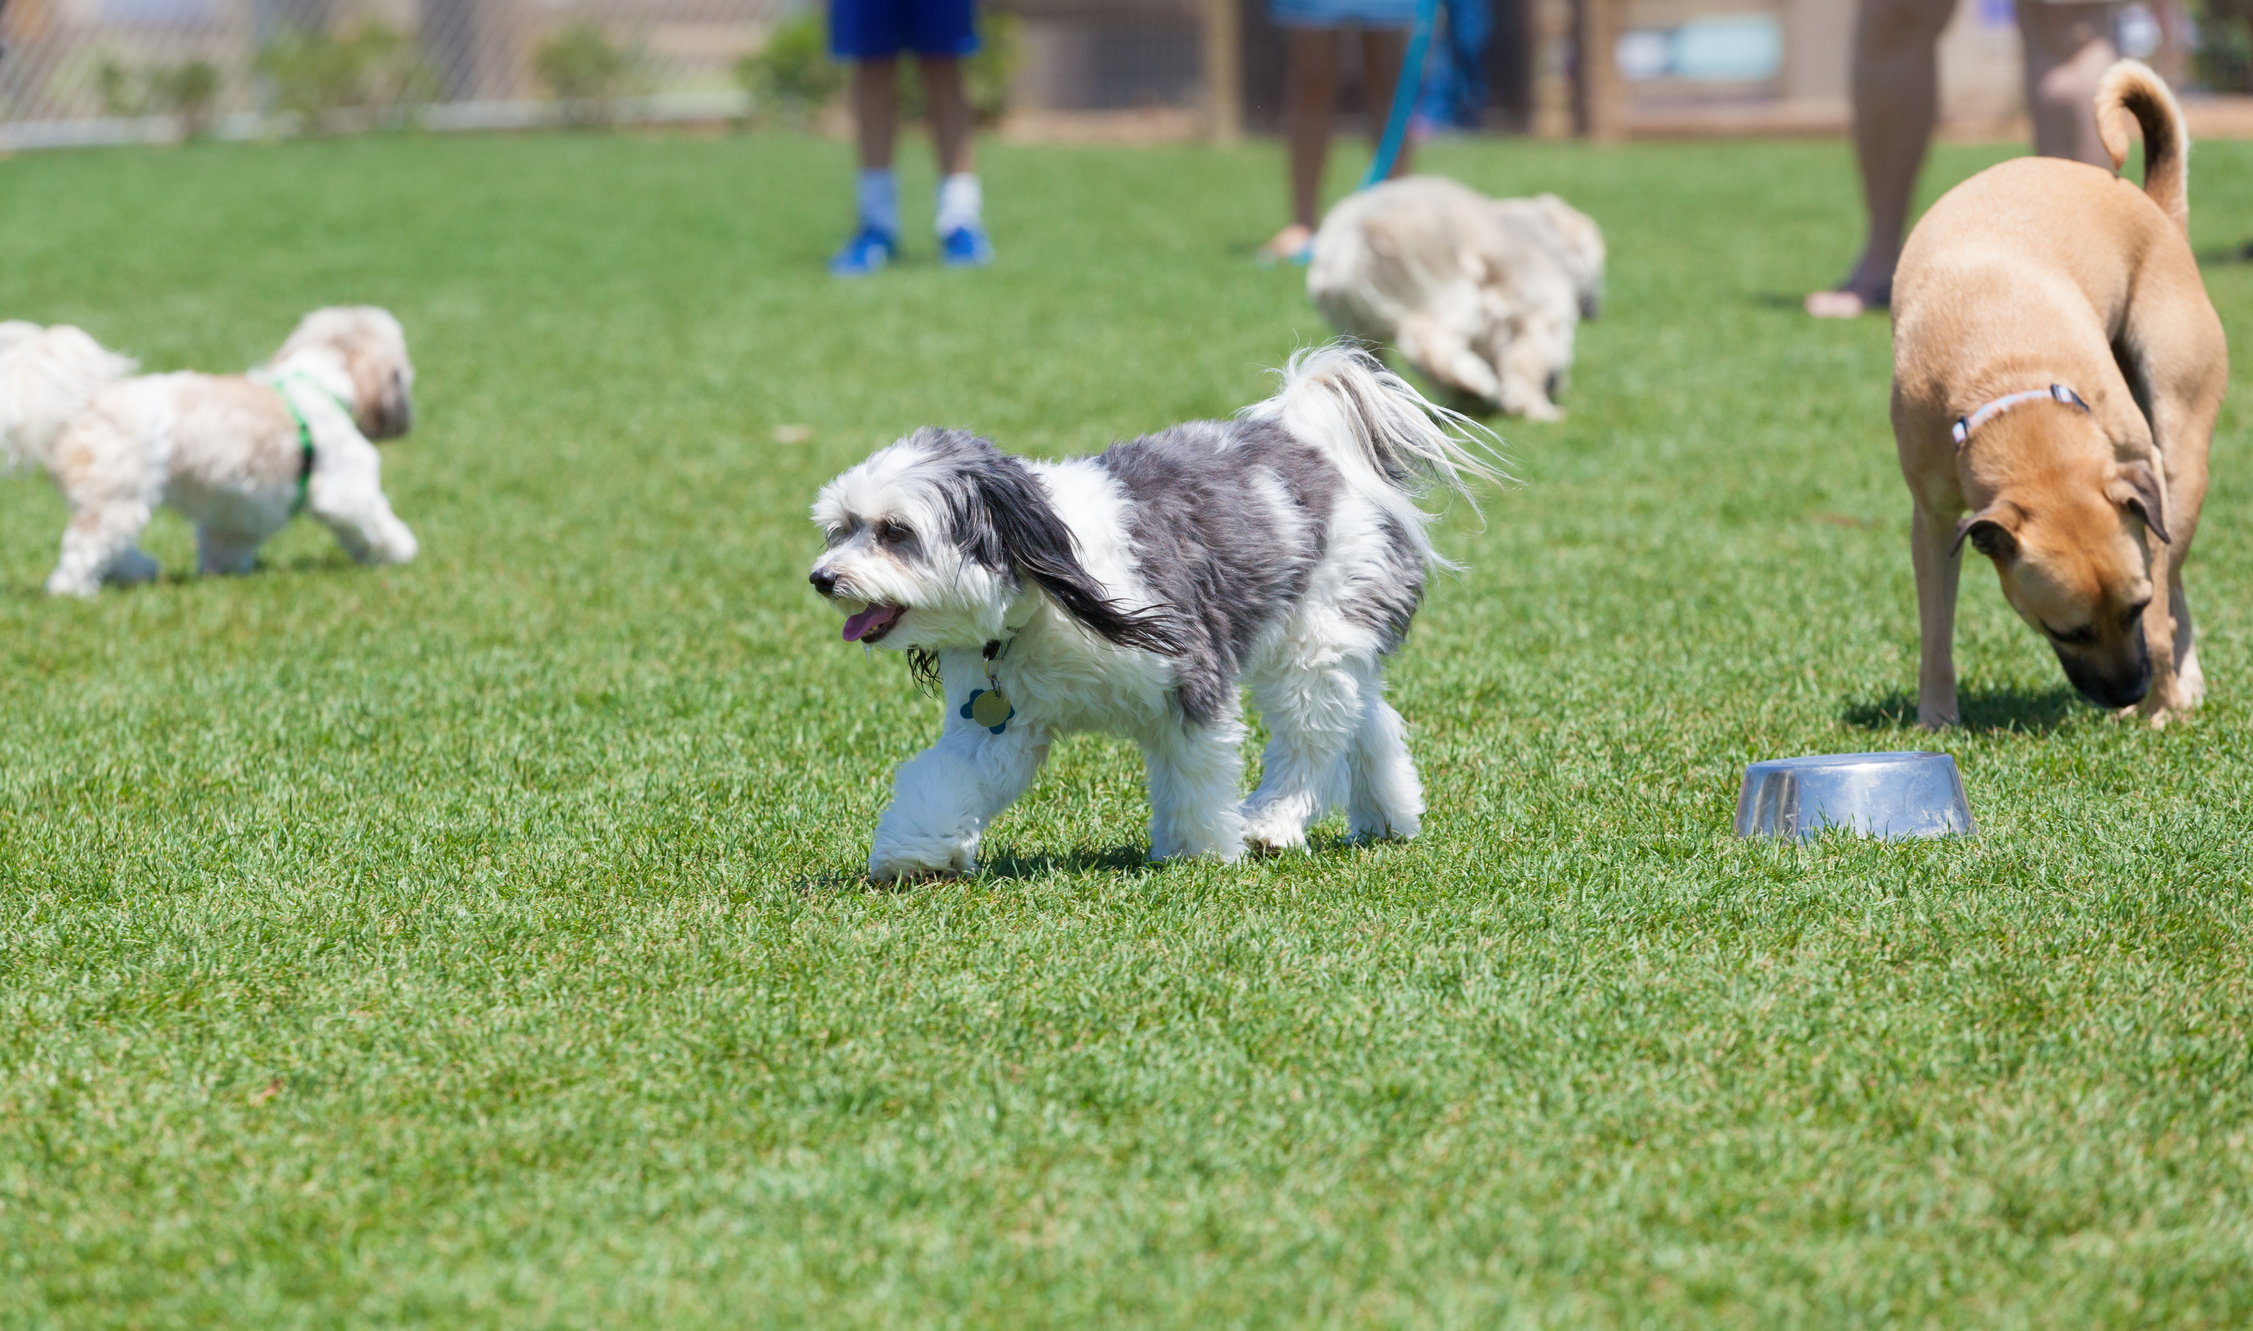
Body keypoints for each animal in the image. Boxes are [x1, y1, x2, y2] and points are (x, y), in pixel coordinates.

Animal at [0, 310, 421, 594]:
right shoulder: (343, 485)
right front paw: (401, 552)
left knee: (111, 544)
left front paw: (223, 572)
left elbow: (225, 542)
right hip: (119, 497)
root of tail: (81, 407)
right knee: (85, 548)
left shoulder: (237, 507)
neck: (317, 382)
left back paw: (139, 570)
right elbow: (375, 522)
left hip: (112, 498)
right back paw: (75, 591)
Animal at [802, 346, 1505, 887]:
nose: (822, 578)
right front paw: (912, 854)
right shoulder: (997, 722)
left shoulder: (1189, 676)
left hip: (1314, 638)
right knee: (1365, 719)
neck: (1051, 589)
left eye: (895, 532)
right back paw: (1390, 816)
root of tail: (1313, 444)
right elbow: (946, 778)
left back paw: (1270, 824)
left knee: (1312, 737)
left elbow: (1194, 776)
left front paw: (1199, 854)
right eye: (841, 528)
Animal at [1306, 174, 1604, 418]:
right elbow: (1528, 365)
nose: (1595, 308)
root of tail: (1351, 238)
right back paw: (1476, 383)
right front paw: (1536, 408)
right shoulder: (1540, 319)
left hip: (1360, 335)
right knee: (1427, 347)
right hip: (1455, 300)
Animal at [1892, 62, 2225, 729]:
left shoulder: (2140, 472)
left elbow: (2160, 612)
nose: (2126, 692)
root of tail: (2152, 207)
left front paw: (2161, 707)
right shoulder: (1933, 518)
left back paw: (2180, 685)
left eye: (2131, 607)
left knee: (2175, 572)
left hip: (2179, 455)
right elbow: (1936, 630)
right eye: (2066, 631)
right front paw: (1936, 719)